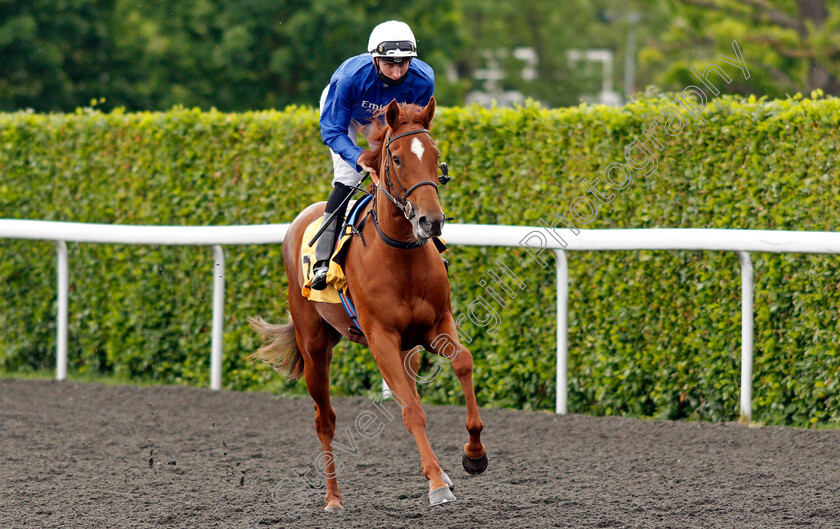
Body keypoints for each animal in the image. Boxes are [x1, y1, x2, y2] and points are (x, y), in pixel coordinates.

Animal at [249, 97, 486, 510]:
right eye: (396, 159)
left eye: (436, 155)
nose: (431, 221)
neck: (400, 256)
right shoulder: (381, 338)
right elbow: (411, 410)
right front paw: (436, 485)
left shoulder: (436, 325)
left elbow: (462, 363)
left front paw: (473, 456)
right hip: (315, 346)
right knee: (324, 419)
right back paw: (333, 498)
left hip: (409, 348)